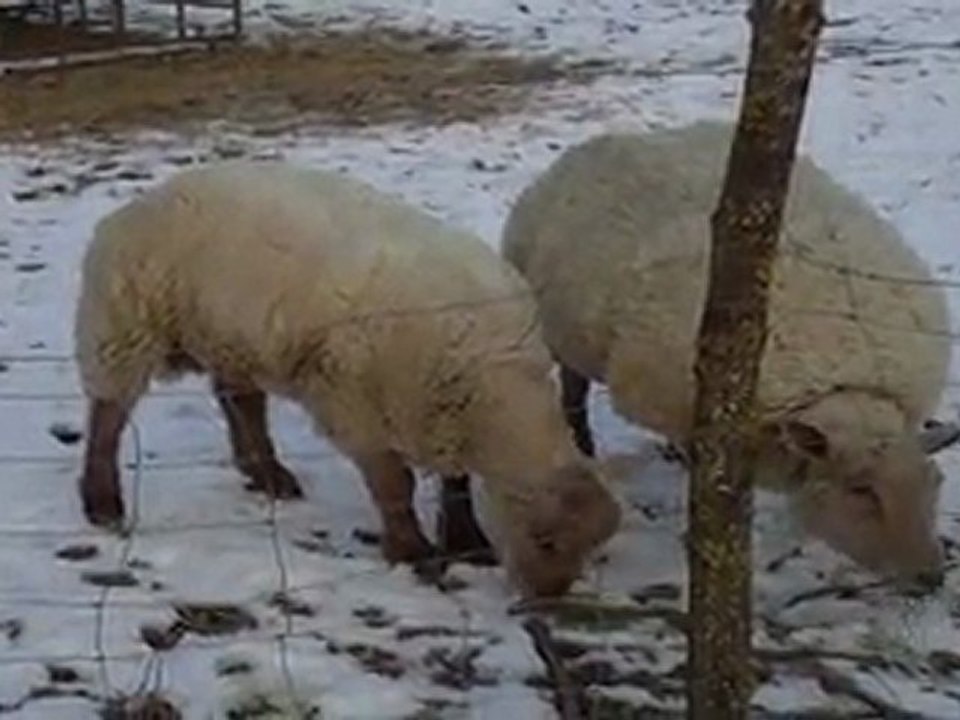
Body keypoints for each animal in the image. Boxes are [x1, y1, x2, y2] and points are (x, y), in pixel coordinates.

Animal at [75, 161, 621, 599]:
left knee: (241, 401)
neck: (493, 382)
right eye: (546, 540)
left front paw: (468, 542)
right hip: (123, 323)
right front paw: (411, 550)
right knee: (109, 413)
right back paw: (102, 501)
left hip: (231, 334)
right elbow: (395, 485)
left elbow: (456, 481)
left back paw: (267, 474)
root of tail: (139, 202)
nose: (546, 598)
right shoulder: (356, 404)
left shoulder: (438, 413)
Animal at [501, 120, 955, 591]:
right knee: (573, 388)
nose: (931, 577)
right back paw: (586, 443)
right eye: (861, 490)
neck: (840, 374)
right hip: (561, 334)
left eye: (935, 482)